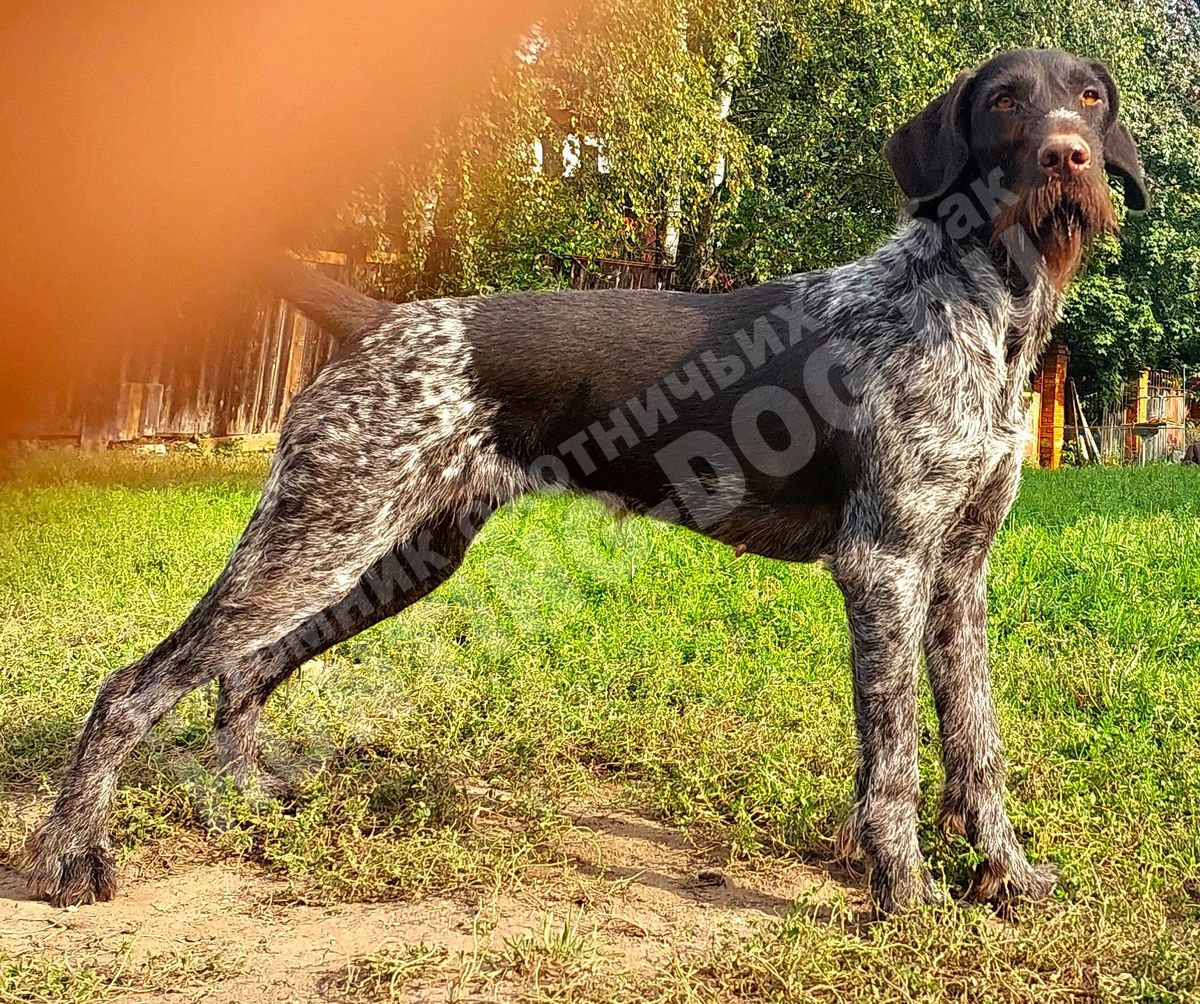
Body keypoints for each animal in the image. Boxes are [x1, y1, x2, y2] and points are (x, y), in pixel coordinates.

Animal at [27, 48, 1148, 913]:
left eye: (1089, 97)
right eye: (1004, 102)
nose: (1068, 156)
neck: (982, 306)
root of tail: (380, 318)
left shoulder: (957, 575)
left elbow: (975, 743)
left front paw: (1006, 876)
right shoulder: (885, 565)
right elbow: (896, 761)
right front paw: (904, 894)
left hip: (397, 553)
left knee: (245, 669)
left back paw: (241, 801)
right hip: (319, 536)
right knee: (133, 688)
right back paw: (67, 856)